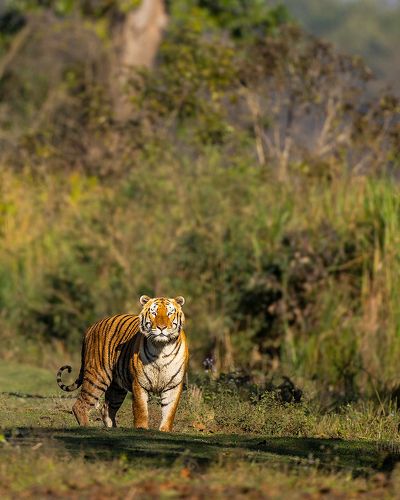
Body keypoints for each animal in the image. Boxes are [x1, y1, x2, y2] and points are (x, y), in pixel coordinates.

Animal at [56, 295, 188, 432]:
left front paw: (164, 430)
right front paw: (141, 428)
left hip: (116, 387)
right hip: (97, 377)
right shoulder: (139, 383)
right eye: (154, 313)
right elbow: (141, 409)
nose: (161, 327)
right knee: (80, 404)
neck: (160, 348)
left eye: (169, 313)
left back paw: (113, 428)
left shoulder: (174, 385)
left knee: (106, 409)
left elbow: (169, 411)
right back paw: (86, 427)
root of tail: (91, 328)